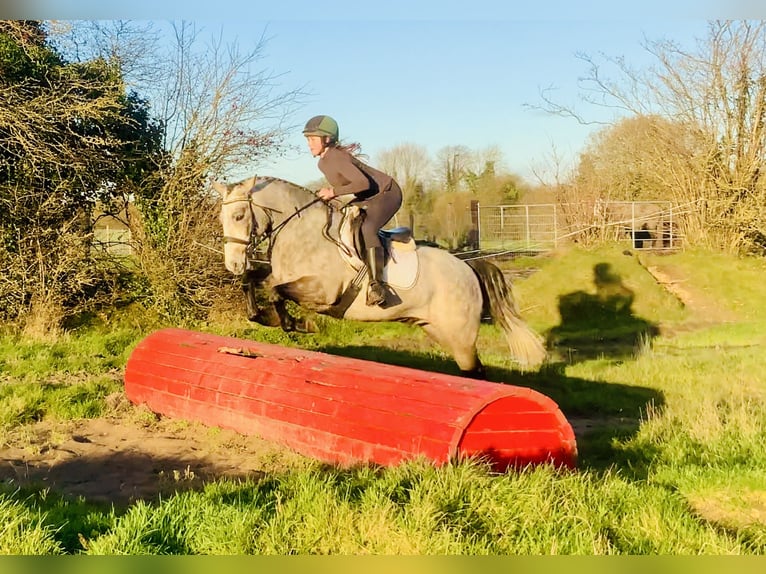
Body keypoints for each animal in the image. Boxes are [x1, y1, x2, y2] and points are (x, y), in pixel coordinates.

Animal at [213, 175, 546, 377]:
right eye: (222, 218)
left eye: (239, 216)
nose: (233, 264)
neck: (300, 230)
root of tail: (468, 268)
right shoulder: (280, 275)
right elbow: (254, 282)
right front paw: (265, 316)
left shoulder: (323, 292)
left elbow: (275, 291)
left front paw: (300, 324)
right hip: (438, 330)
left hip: (461, 336)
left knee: (475, 371)